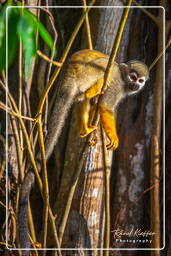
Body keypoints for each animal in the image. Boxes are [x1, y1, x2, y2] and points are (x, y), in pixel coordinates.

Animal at [18, 49, 149, 253]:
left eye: (141, 80)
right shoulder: (118, 85)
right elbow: (104, 106)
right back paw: (94, 89)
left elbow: (96, 105)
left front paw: (94, 133)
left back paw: (84, 130)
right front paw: (114, 138)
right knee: (102, 68)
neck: (124, 79)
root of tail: (67, 76)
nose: (136, 84)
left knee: (83, 99)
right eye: (133, 77)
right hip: (84, 73)